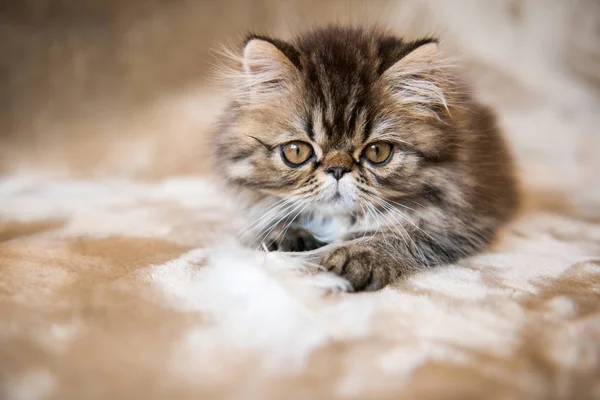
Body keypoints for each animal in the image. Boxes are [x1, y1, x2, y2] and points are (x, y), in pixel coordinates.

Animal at [213, 26, 516, 292]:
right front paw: (282, 235)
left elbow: (408, 233)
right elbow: (262, 213)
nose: (337, 169)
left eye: (377, 152)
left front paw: (359, 255)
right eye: (297, 152)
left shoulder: (463, 220)